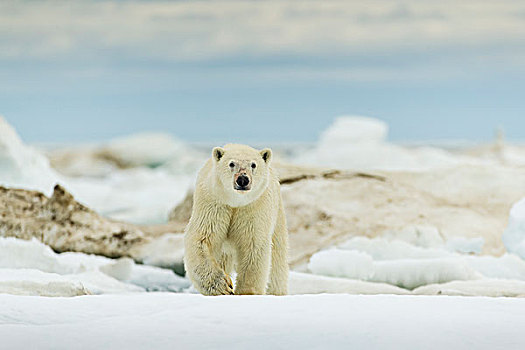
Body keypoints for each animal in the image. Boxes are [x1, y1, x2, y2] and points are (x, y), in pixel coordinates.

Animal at [183, 143, 290, 296]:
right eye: (231, 163)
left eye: (253, 164)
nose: (243, 179)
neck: (235, 202)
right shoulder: (213, 203)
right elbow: (202, 238)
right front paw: (223, 287)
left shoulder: (254, 207)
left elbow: (253, 245)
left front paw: (247, 292)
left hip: (278, 214)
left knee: (277, 262)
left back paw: (276, 292)